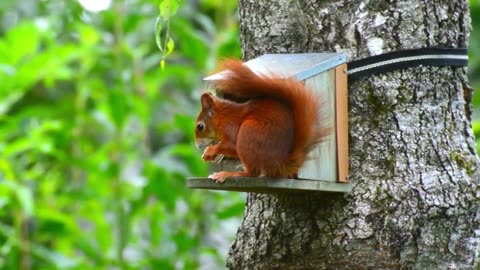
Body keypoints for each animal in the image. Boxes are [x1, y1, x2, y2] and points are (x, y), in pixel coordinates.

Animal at [193, 58, 328, 181]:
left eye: (200, 126)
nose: (197, 146)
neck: (222, 116)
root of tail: (280, 165)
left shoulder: (230, 126)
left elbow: (231, 145)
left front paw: (210, 151)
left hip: (248, 133)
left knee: (253, 173)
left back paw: (229, 174)